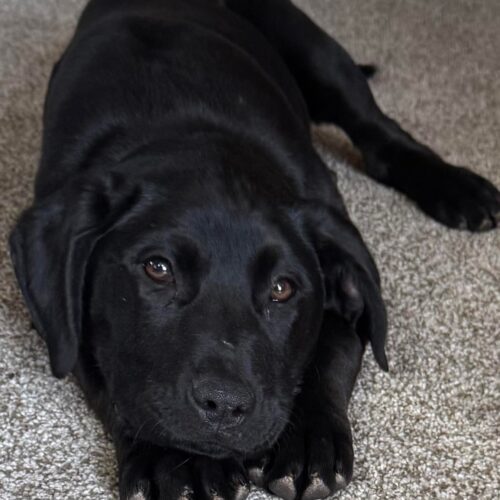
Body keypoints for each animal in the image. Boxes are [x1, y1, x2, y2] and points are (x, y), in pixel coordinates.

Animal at [9, 1, 500, 499]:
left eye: (282, 289)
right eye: (157, 268)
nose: (224, 405)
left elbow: (331, 351)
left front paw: (309, 440)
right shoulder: (60, 320)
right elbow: (106, 373)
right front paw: (177, 462)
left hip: (319, 54)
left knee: (378, 132)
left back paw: (458, 189)